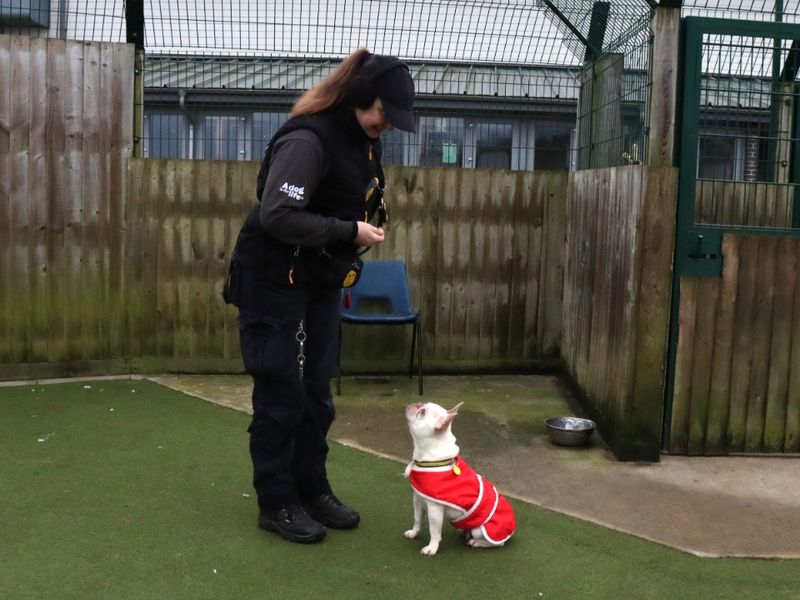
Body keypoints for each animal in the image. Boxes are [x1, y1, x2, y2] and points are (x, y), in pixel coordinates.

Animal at [404, 400, 516, 556]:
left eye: (422, 413)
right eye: (423, 405)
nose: (417, 403)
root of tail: (512, 527)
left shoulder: (434, 508)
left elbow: (434, 530)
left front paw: (432, 548)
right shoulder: (418, 499)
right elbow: (417, 518)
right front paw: (414, 532)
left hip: (482, 529)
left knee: (497, 543)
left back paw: (475, 542)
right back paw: (463, 531)